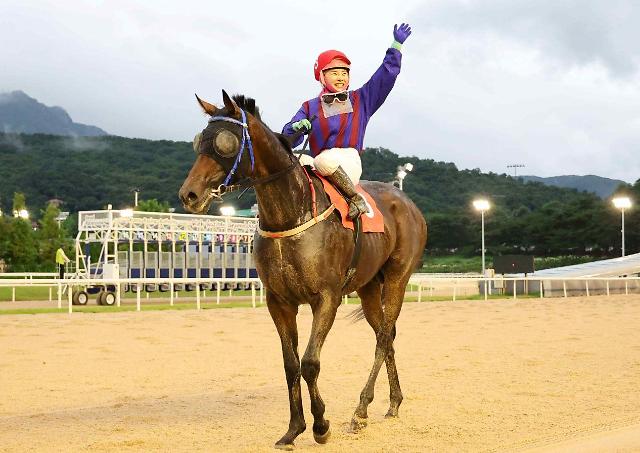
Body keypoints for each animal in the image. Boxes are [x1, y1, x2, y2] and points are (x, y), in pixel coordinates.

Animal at [180, 90, 428, 446]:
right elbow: (290, 364)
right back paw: (392, 402)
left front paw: (321, 424)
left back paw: (360, 410)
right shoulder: (279, 302)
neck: (289, 215)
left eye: (226, 142)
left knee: (383, 337)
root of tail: (406, 203)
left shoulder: (326, 298)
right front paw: (294, 428)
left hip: (397, 279)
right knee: (387, 334)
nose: (189, 194)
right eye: (199, 140)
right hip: (368, 287)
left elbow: (310, 362)